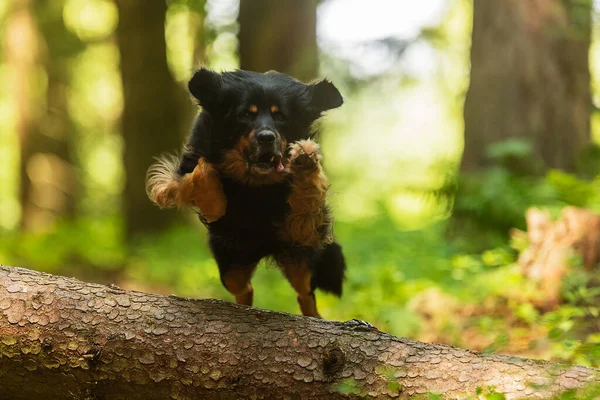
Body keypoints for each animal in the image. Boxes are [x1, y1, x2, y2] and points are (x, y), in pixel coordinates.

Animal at [145, 69, 346, 318]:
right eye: (245, 114)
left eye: (281, 116)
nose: (266, 137)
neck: (256, 181)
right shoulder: (182, 171)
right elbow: (202, 170)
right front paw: (214, 204)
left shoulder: (303, 232)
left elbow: (304, 204)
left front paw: (304, 164)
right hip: (232, 264)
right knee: (244, 289)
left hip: (298, 262)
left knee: (305, 293)